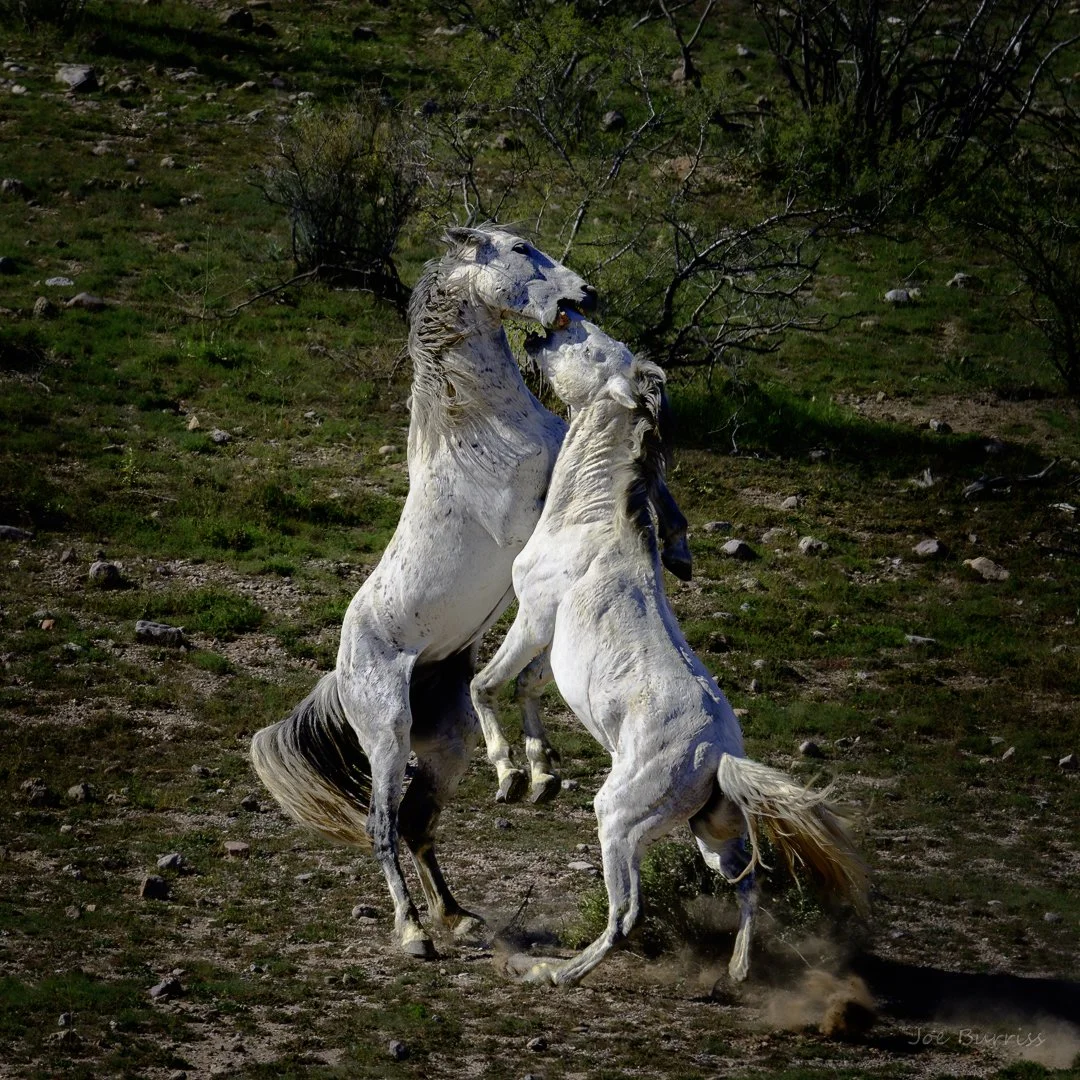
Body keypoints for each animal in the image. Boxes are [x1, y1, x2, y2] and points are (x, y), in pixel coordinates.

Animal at [251, 227, 691, 960]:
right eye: (519, 248)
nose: (585, 293)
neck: (481, 422)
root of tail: (342, 669)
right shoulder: (531, 509)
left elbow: (644, 478)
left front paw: (679, 547)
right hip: (386, 735)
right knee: (382, 824)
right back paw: (413, 934)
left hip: (446, 741)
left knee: (418, 820)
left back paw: (457, 913)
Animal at [470, 315, 869, 985]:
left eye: (597, 348)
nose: (552, 325)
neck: (590, 521)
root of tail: (720, 757)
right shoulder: (547, 642)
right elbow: (527, 685)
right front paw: (542, 772)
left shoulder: (534, 617)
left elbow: (488, 683)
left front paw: (510, 776)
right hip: (712, 831)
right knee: (747, 881)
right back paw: (735, 972)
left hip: (619, 820)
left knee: (627, 912)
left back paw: (558, 973)